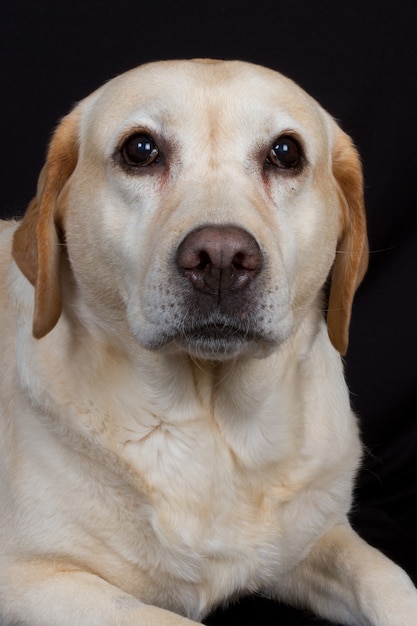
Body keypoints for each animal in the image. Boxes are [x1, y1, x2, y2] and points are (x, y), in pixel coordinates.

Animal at [0, 59, 416, 624]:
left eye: (286, 153)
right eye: (140, 150)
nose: (220, 258)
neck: (213, 424)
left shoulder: (317, 538)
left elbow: (391, 583)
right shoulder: (30, 578)